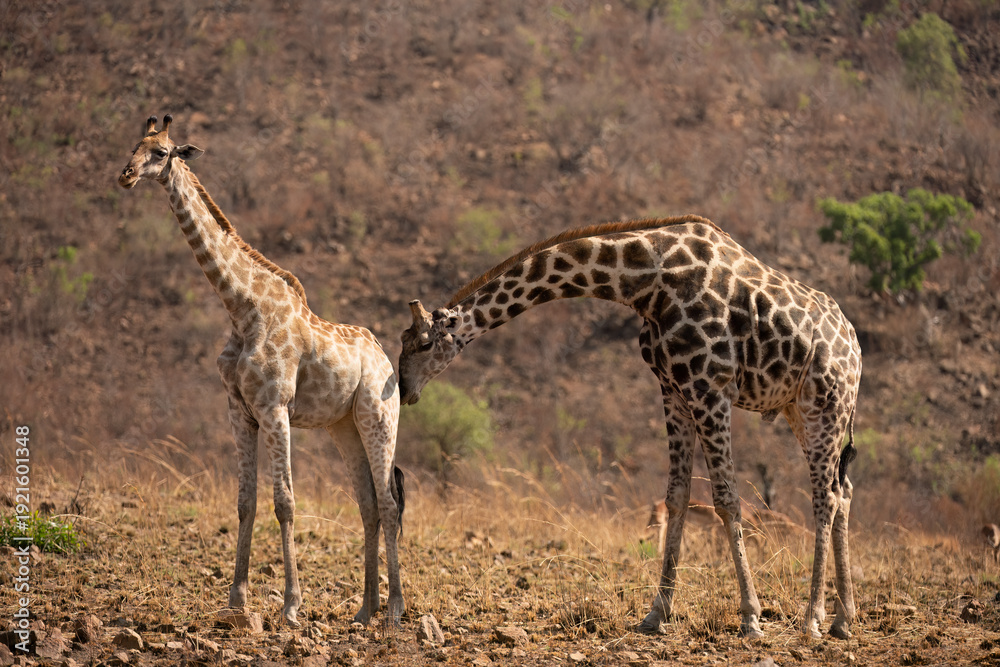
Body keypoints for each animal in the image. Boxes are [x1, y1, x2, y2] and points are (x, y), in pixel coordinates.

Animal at [118, 115, 405, 627]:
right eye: (134, 145)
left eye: (162, 152)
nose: (125, 175)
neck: (242, 308)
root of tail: (384, 357)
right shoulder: (239, 410)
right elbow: (245, 501)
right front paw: (236, 599)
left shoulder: (274, 407)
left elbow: (285, 502)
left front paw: (291, 606)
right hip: (344, 427)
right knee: (369, 506)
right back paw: (364, 610)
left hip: (378, 417)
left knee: (390, 504)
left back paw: (393, 611)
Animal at [398, 215, 861, 639]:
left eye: (423, 343)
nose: (404, 390)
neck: (646, 281)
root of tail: (855, 349)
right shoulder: (674, 390)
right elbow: (676, 497)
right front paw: (657, 614)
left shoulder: (710, 388)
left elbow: (727, 499)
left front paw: (750, 617)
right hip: (799, 411)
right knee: (844, 491)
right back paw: (844, 618)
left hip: (826, 405)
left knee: (825, 497)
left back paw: (813, 619)